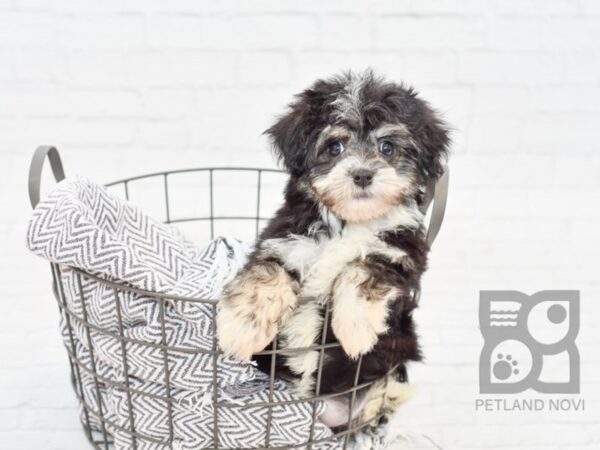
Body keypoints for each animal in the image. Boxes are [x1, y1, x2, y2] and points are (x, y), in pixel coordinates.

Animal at [218, 69, 448, 428]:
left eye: (387, 147)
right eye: (335, 147)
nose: (363, 175)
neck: (349, 222)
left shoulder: (401, 256)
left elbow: (362, 271)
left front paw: (355, 329)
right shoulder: (283, 242)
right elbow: (266, 274)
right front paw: (242, 328)